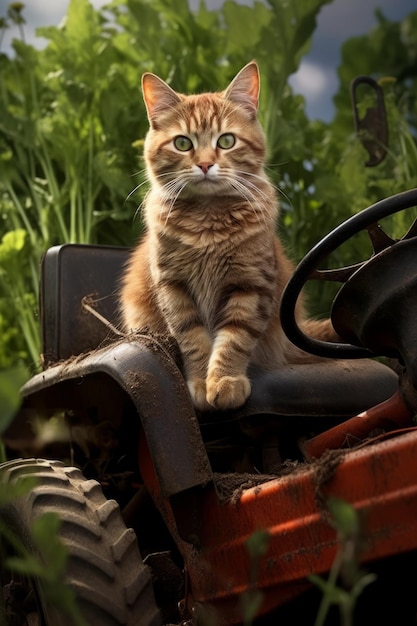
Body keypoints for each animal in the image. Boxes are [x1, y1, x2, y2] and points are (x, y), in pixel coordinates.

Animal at [118, 61, 336, 412]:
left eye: (227, 141)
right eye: (183, 143)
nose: (206, 164)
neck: (208, 222)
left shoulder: (251, 284)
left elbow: (235, 338)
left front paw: (224, 379)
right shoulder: (173, 287)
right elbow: (192, 338)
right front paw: (200, 382)